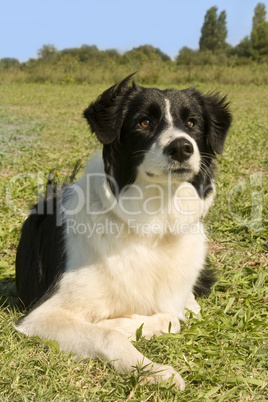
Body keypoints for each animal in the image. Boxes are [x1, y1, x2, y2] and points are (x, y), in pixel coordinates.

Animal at [15, 75, 231, 390]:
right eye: (144, 122)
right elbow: (111, 334)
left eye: (192, 123)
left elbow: (173, 316)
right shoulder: (41, 315)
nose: (181, 147)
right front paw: (157, 371)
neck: (154, 224)